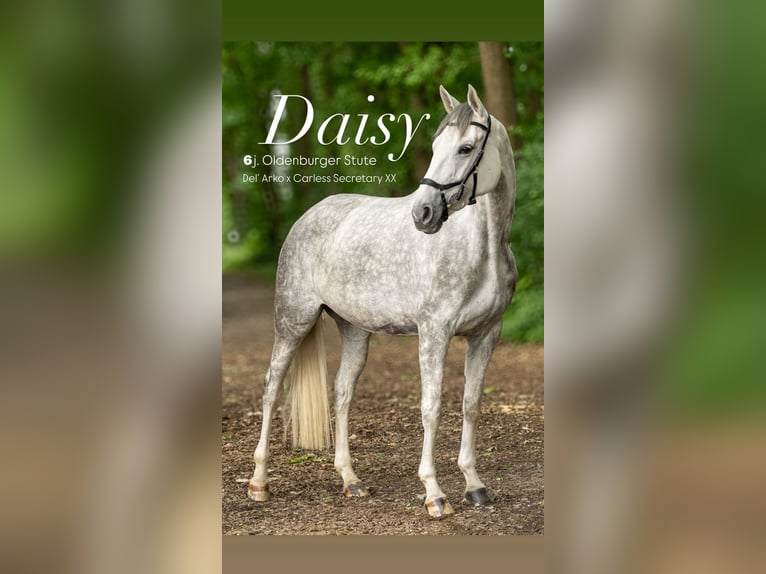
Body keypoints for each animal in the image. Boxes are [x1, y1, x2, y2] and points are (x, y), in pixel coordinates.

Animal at [247, 85, 517, 518]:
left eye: (466, 148)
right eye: (436, 145)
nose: (423, 213)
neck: (483, 249)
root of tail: (308, 216)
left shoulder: (486, 334)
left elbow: (471, 404)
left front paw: (475, 485)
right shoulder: (434, 333)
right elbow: (431, 407)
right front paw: (434, 493)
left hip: (354, 331)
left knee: (342, 393)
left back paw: (351, 480)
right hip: (292, 320)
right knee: (272, 388)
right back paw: (258, 483)